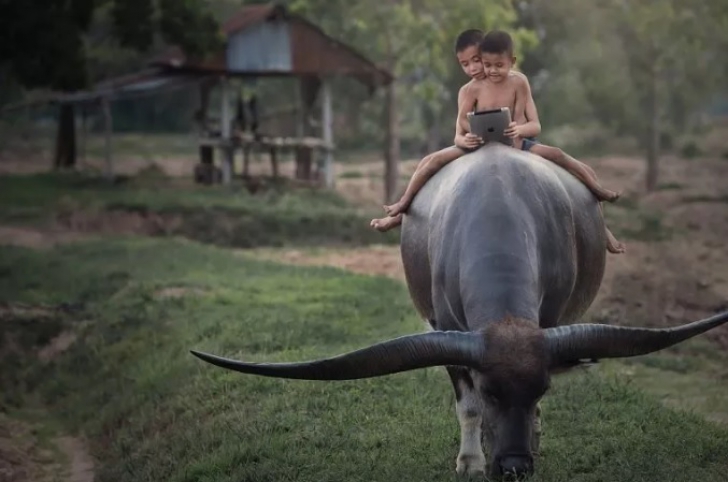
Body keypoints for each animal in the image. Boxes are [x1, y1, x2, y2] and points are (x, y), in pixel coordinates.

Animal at [193, 143, 728, 478]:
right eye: (491, 391)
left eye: (541, 388)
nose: (513, 468)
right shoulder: (448, 331)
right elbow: (465, 404)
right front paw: (470, 462)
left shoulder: (549, 322)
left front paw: (533, 435)